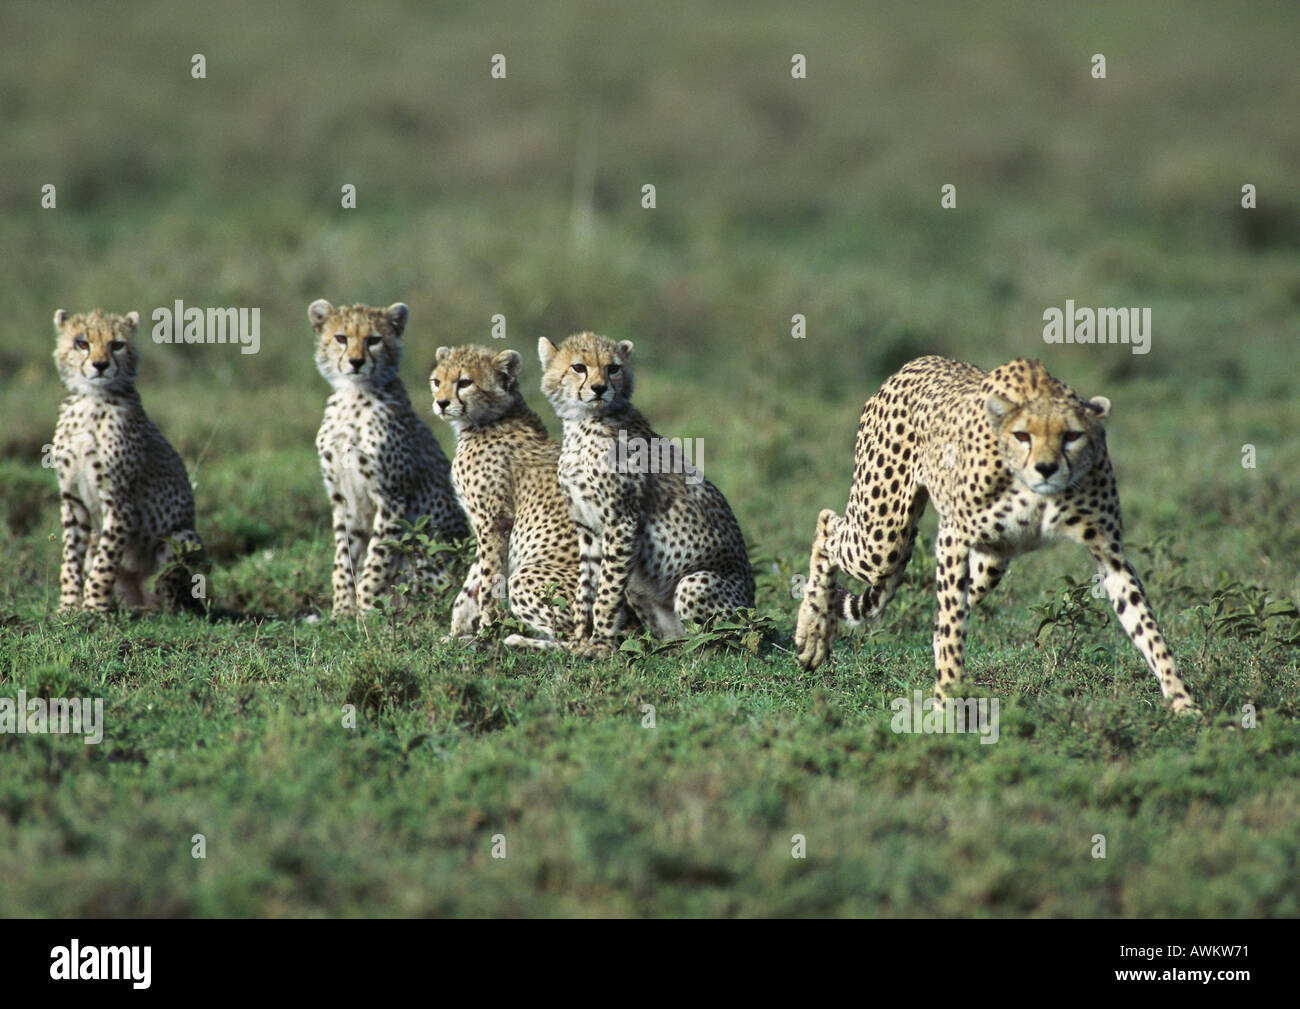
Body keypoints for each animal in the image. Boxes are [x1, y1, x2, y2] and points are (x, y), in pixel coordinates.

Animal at [308, 299, 467, 613]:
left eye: (373, 340)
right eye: (341, 338)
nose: (356, 362)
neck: (353, 396)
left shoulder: (393, 497)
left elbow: (376, 560)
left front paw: (368, 611)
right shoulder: (344, 500)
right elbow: (344, 558)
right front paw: (342, 610)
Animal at [431, 345, 579, 647]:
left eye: (465, 382)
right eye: (437, 381)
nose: (441, 403)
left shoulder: (494, 521)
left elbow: (490, 582)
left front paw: (485, 635)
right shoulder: (485, 524)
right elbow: (472, 582)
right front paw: (457, 633)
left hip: (528, 577)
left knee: (579, 641)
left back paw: (519, 641)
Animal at [535, 331, 754, 647]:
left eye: (613, 368)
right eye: (578, 367)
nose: (599, 388)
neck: (583, 424)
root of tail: (753, 609)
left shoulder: (622, 522)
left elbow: (606, 593)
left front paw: (599, 644)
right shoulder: (588, 529)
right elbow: (586, 590)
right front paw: (578, 640)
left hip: (695, 584)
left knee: (715, 642)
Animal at [785, 353, 1190, 707]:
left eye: (1071, 436)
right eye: (1023, 436)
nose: (1046, 468)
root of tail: (914, 363)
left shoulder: (1108, 552)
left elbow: (1146, 626)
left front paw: (1183, 704)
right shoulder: (953, 537)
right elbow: (951, 627)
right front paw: (948, 699)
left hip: (988, 560)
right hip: (881, 536)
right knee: (827, 525)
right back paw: (812, 631)